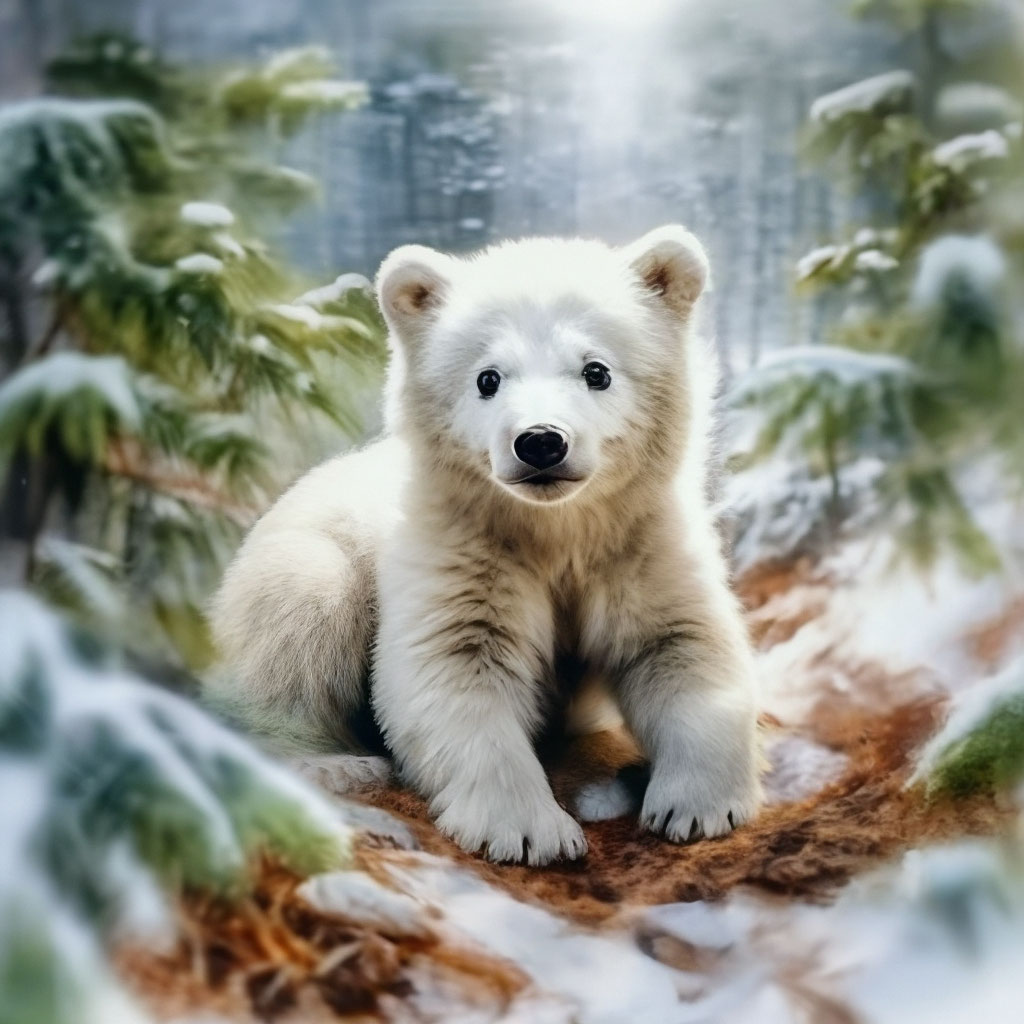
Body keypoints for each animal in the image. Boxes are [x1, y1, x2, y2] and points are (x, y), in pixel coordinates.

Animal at [207, 226, 762, 866]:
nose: (541, 442)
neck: (554, 529)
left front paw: (693, 807)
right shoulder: (460, 549)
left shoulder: (638, 541)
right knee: (300, 612)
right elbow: (455, 667)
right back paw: (338, 765)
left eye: (596, 370)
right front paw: (531, 831)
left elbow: (680, 644)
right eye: (487, 377)